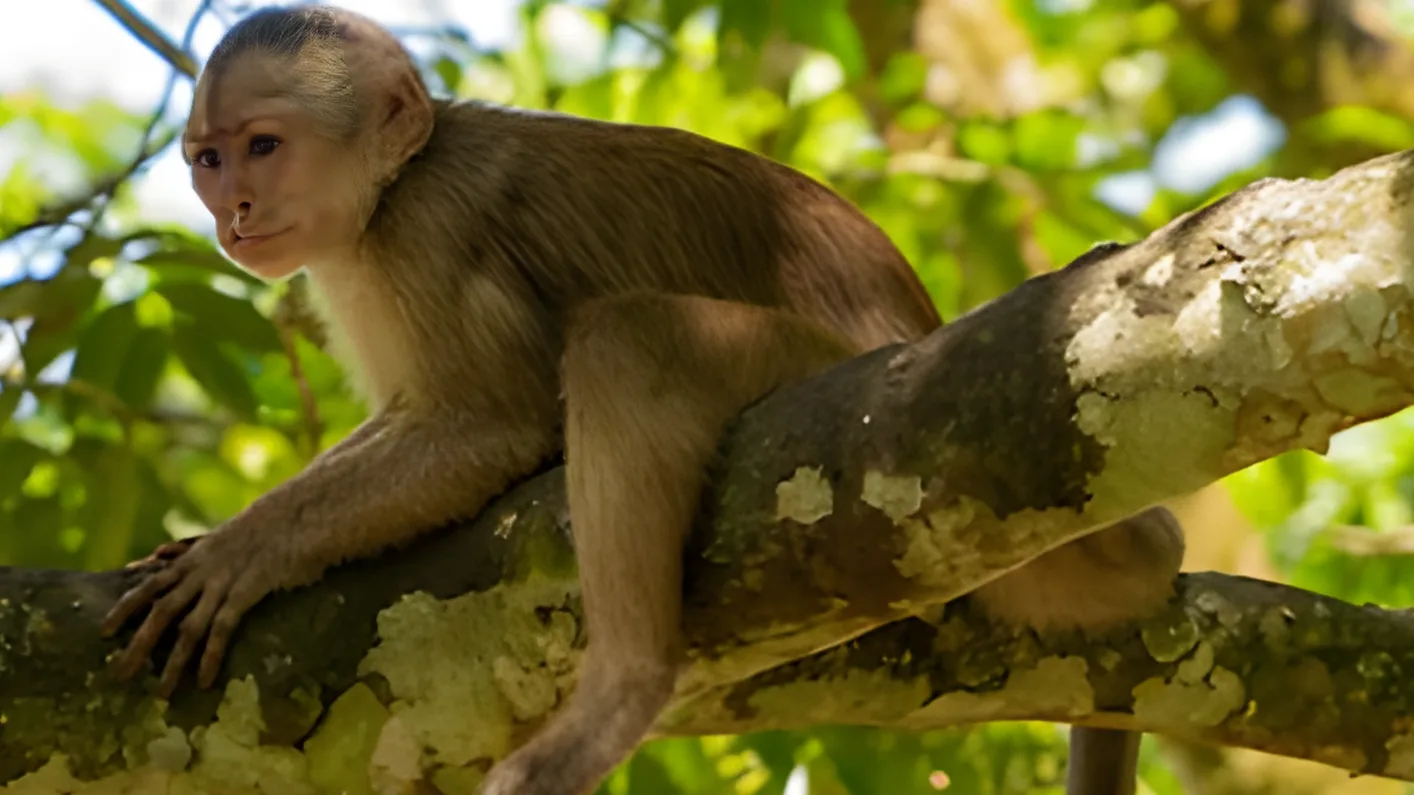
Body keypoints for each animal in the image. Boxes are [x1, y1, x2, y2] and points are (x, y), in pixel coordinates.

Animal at [96, 6, 1184, 795]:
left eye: (264, 147)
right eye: (209, 159)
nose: (233, 207)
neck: (393, 185)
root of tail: (917, 328)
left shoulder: (424, 231)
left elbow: (495, 425)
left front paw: (242, 552)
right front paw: (219, 542)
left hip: (835, 376)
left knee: (627, 340)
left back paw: (625, 687)